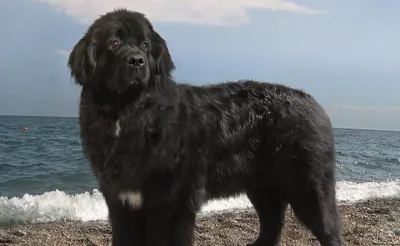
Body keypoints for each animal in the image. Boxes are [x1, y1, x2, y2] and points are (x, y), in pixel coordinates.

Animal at [67, 7, 342, 246]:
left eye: (145, 45)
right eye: (114, 43)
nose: (137, 61)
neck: (129, 113)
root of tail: (314, 103)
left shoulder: (173, 204)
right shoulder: (122, 203)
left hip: (310, 188)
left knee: (328, 231)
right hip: (264, 188)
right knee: (272, 227)